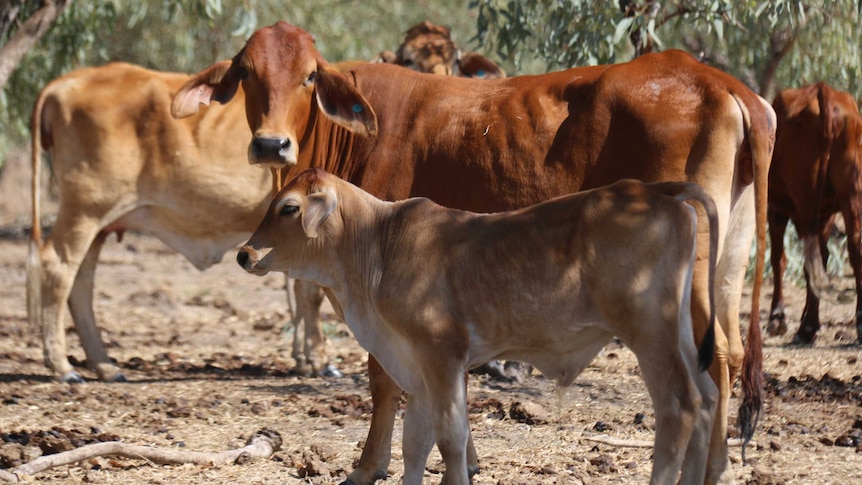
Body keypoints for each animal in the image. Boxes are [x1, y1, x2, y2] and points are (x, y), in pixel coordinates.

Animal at [236, 167, 724, 484]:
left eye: (288, 208)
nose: (245, 253)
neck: (378, 246)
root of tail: (657, 190)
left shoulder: (441, 356)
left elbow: (451, 438)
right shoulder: (416, 367)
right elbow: (416, 442)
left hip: (650, 333)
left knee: (679, 408)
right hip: (679, 332)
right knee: (707, 400)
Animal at [768, 82, 862, 344]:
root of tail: (823, 90)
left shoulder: (775, 209)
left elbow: (778, 258)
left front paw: (777, 317)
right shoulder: (826, 215)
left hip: (806, 197)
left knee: (810, 255)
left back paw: (807, 327)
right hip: (850, 190)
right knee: (854, 247)